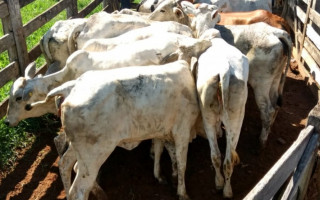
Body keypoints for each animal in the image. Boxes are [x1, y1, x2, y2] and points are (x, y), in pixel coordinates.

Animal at [37, 61, 200, 200]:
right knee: (79, 190)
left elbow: (162, 152)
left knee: (65, 164)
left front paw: (162, 176)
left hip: (77, 147)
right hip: (94, 155)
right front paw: (182, 193)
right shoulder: (183, 131)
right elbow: (182, 162)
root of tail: (71, 88)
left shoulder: (160, 130)